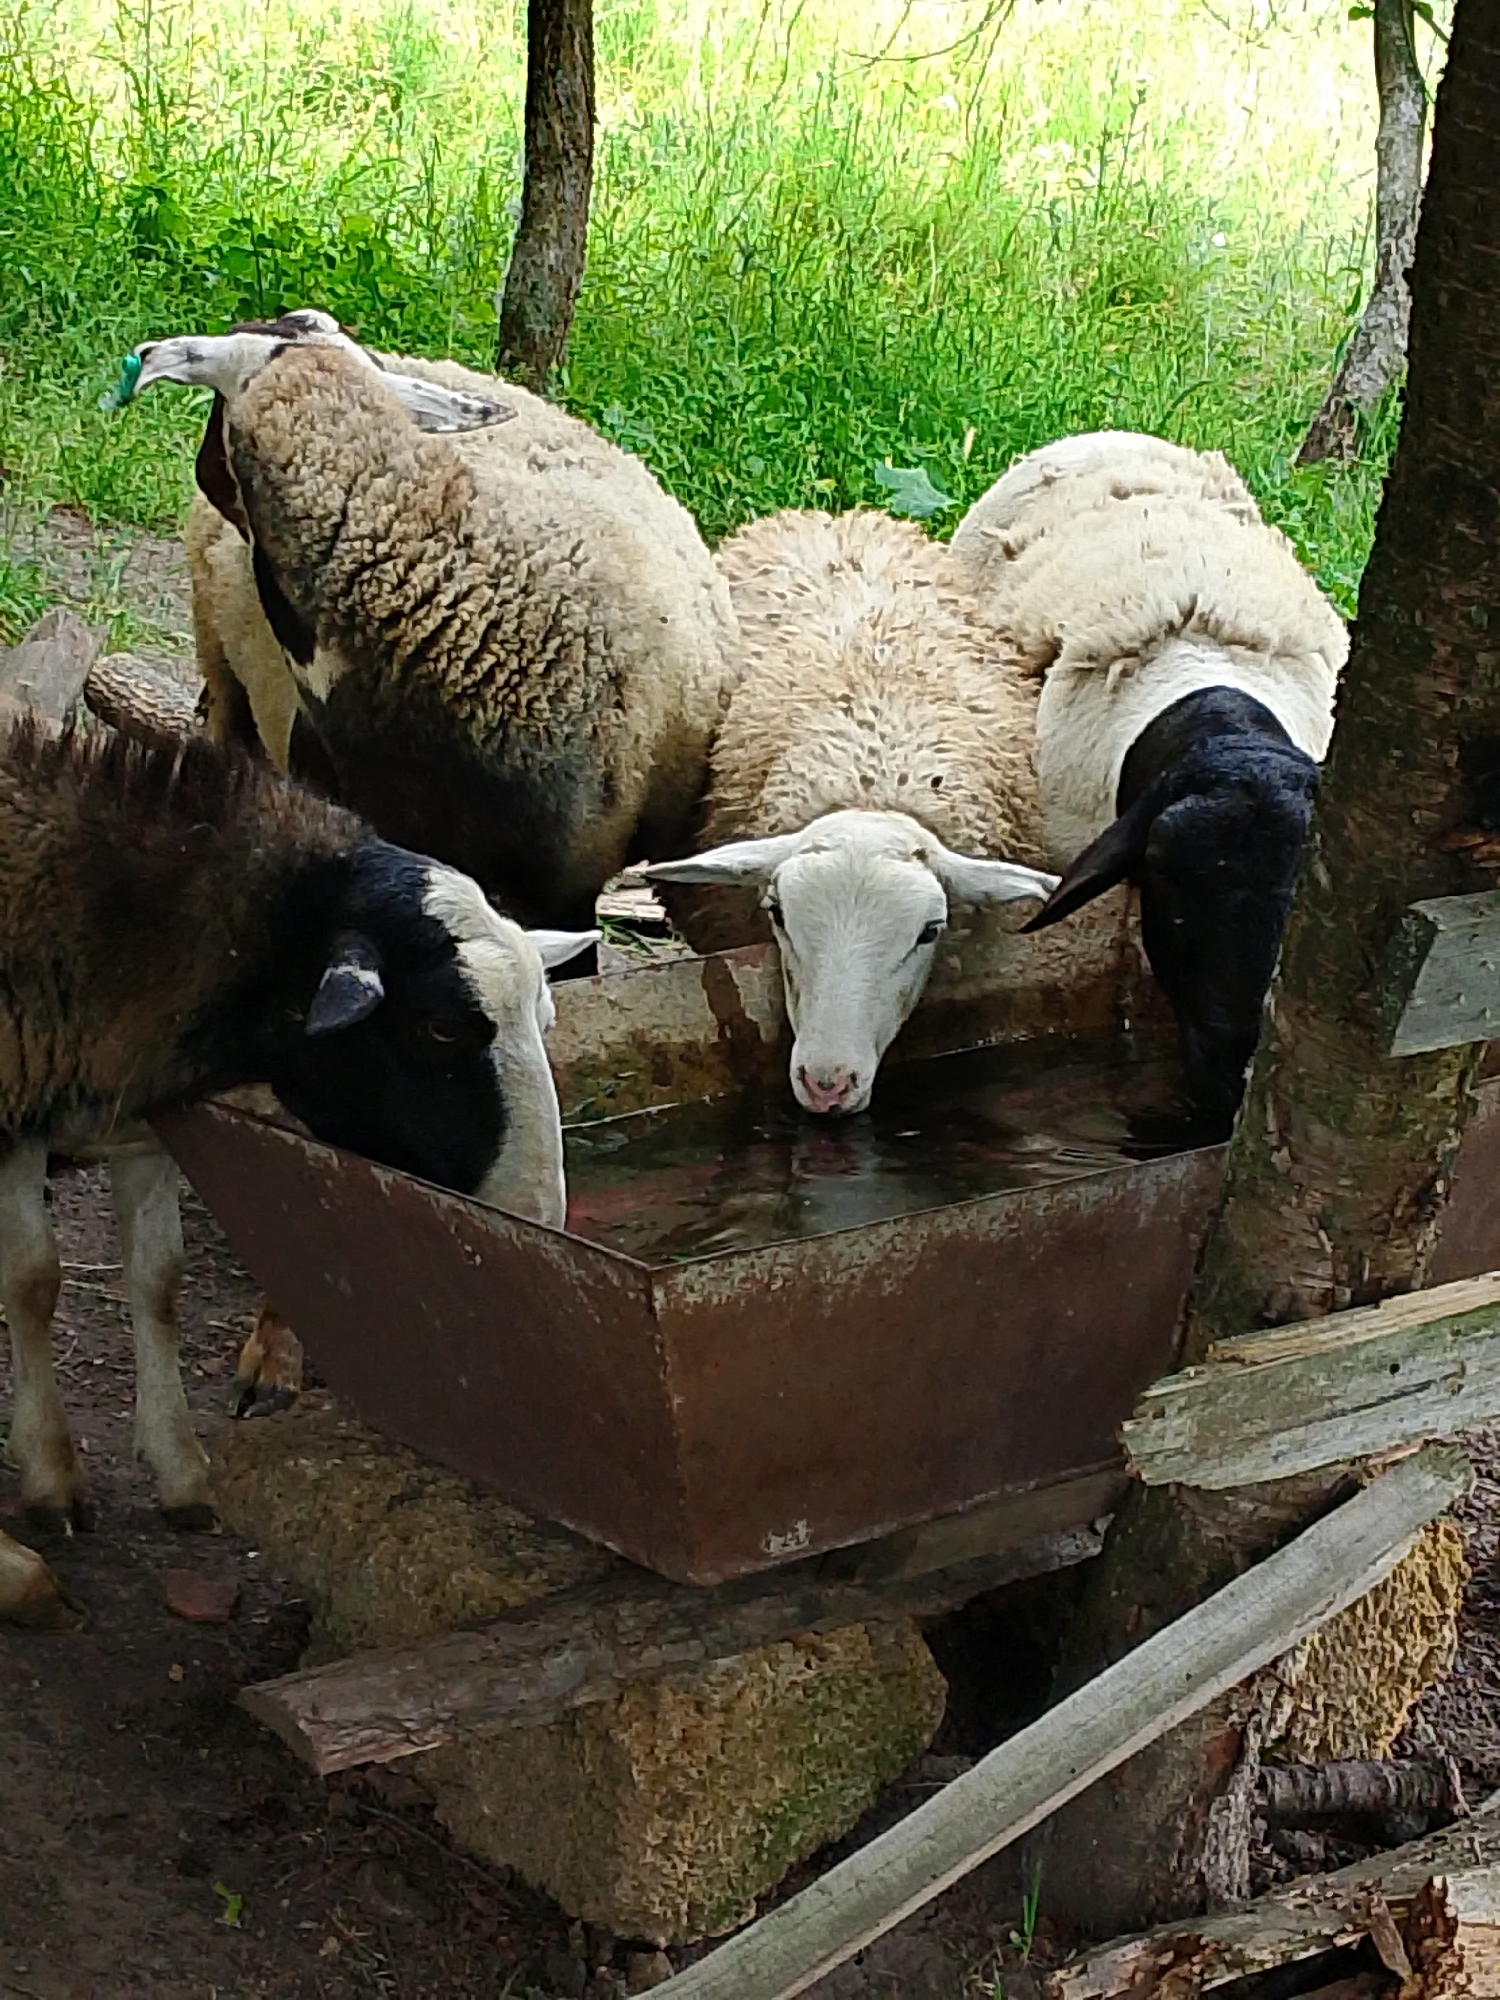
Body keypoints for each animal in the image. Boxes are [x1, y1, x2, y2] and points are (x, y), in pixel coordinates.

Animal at [0, 716, 595, 1623]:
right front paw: (42, 1503)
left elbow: (158, 1280)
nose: (539, 1218)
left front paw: (180, 1469)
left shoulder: (143, 1119)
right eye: (442, 1028)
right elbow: (34, 1278)